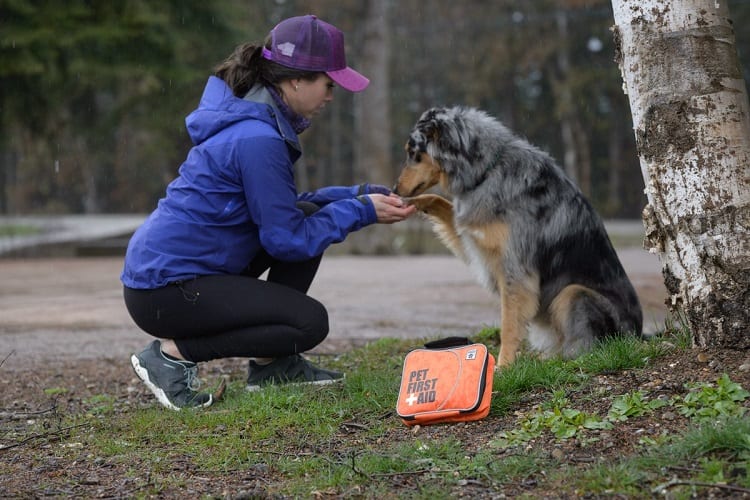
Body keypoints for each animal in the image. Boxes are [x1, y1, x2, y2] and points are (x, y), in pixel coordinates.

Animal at [394, 106, 648, 368]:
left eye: (413, 153)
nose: (394, 189)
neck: (486, 170)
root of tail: (637, 336)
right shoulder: (475, 238)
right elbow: (441, 204)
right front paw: (413, 203)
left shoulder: (515, 268)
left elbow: (509, 323)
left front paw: (503, 366)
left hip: (574, 294)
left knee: (587, 346)